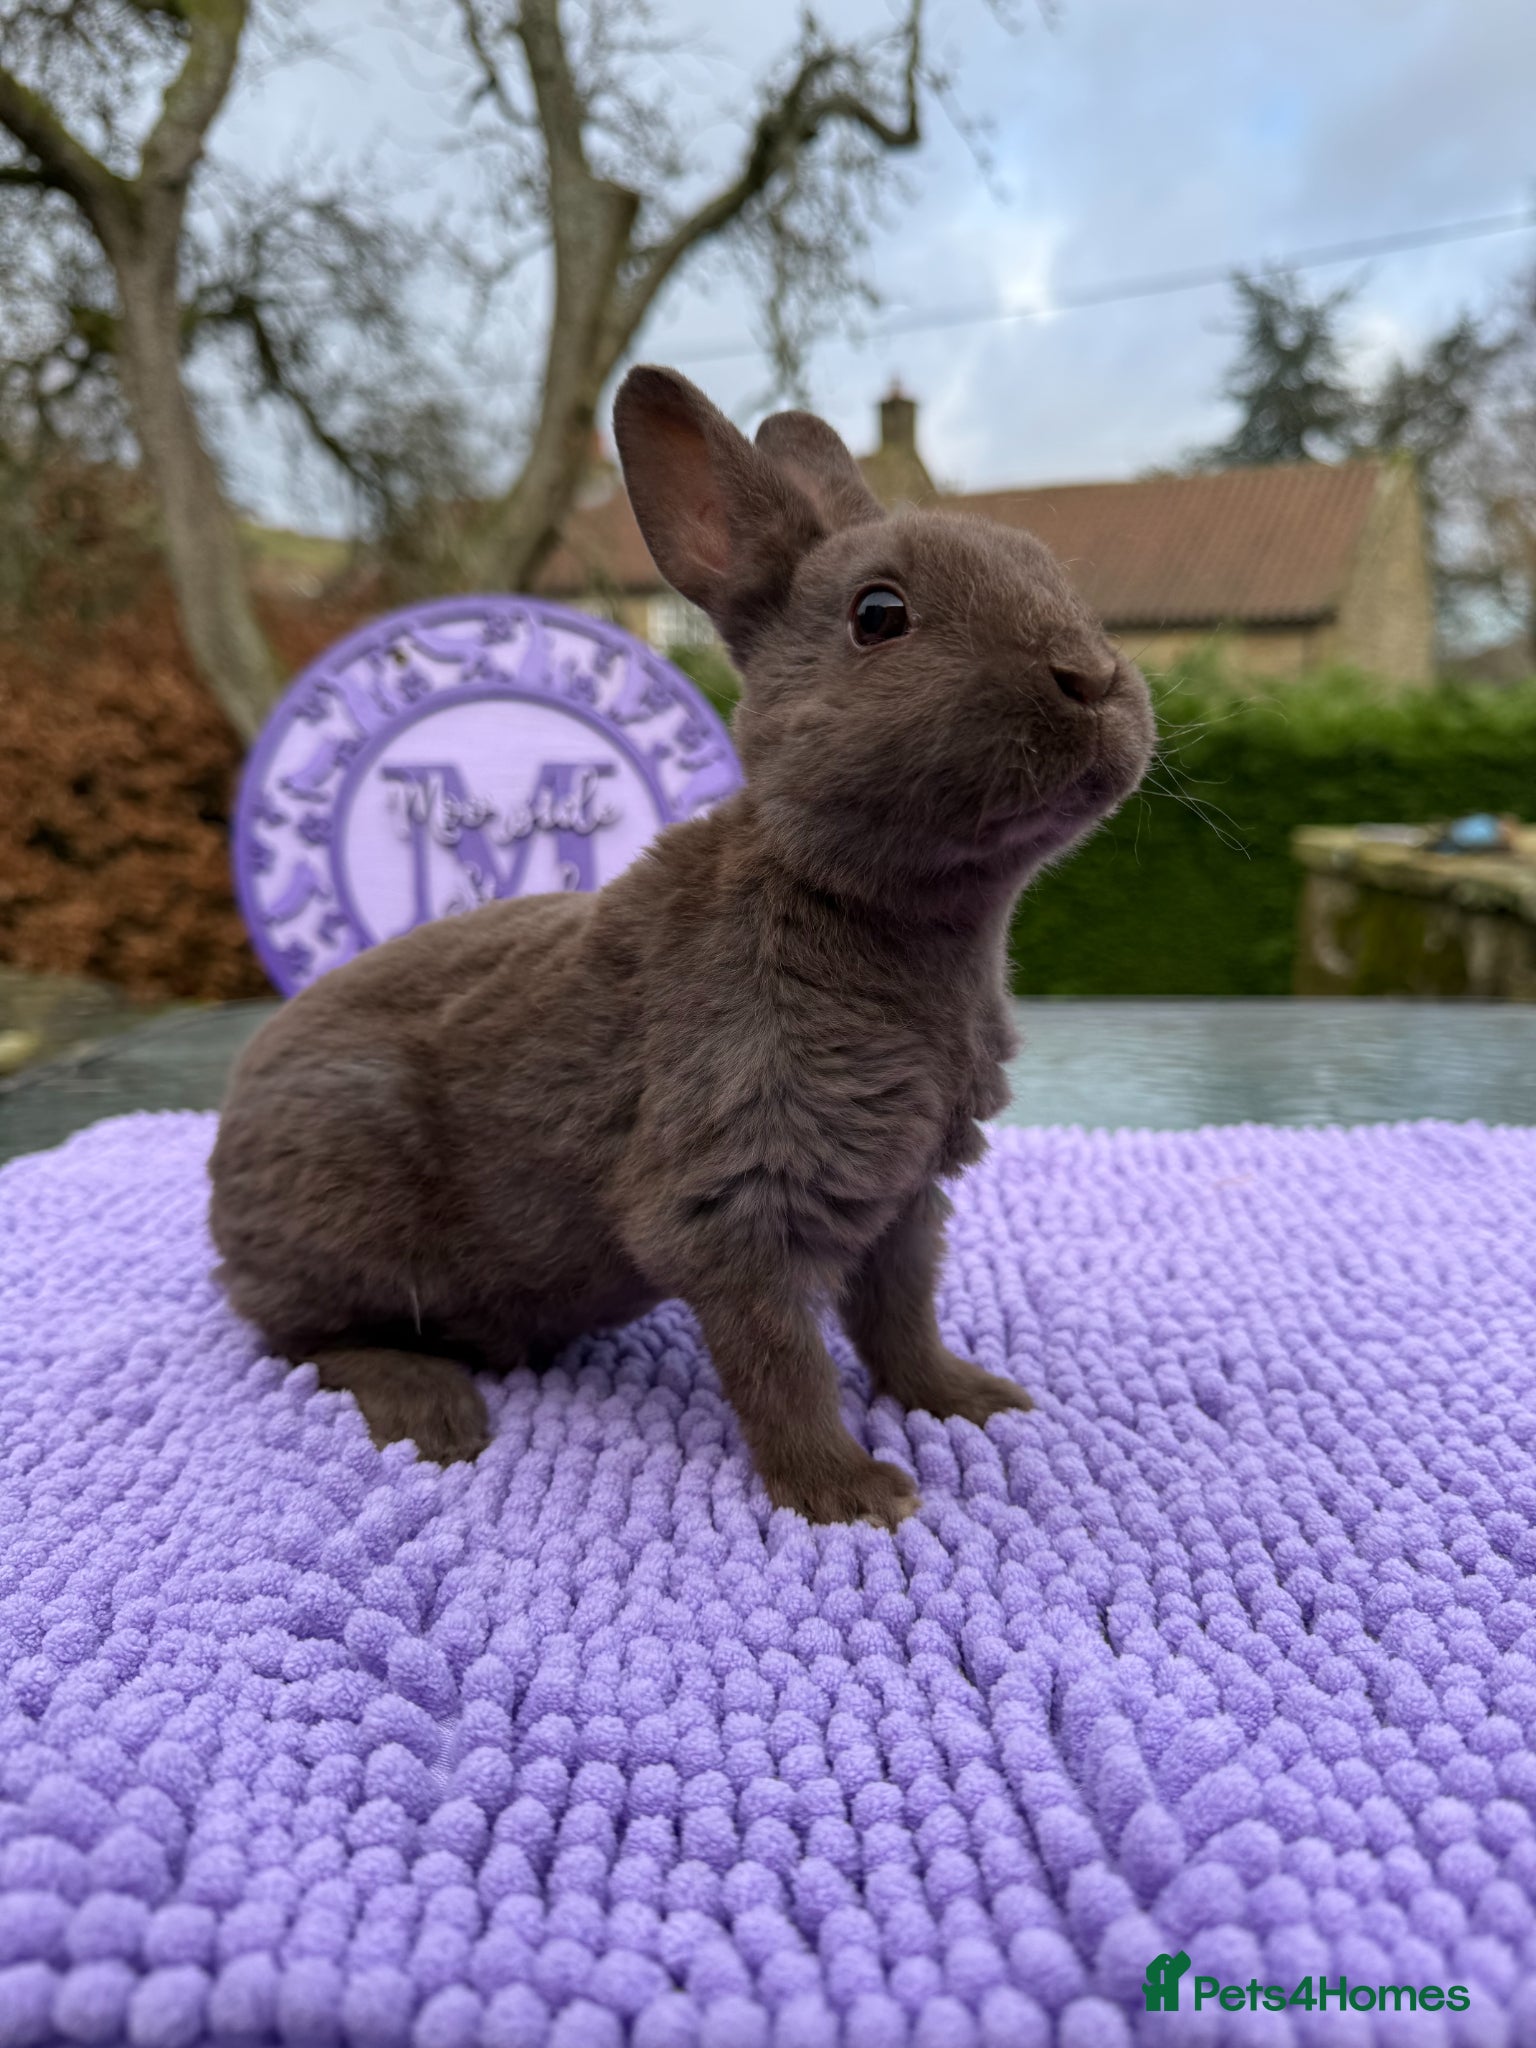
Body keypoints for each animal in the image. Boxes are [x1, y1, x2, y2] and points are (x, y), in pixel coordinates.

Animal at [208, 364, 1155, 1528]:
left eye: (1049, 574)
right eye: (879, 615)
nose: (1092, 675)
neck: (859, 904)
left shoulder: (904, 1200)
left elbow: (900, 1316)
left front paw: (968, 1399)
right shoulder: (732, 1201)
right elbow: (783, 1358)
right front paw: (851, 1494)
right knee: (303, 1337)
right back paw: (433, 1407)